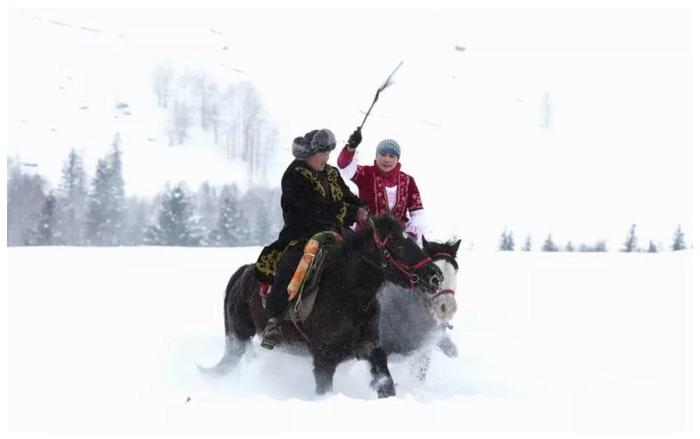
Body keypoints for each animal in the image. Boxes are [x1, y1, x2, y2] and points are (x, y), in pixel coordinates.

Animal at [198, 216, 442, 398]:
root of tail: (243, 274)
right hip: (239, 336)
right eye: (398, 245)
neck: (346, 294)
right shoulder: (324, 359)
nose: (435, 277)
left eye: (414, 241)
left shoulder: (372, 349)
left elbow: (386, 385)